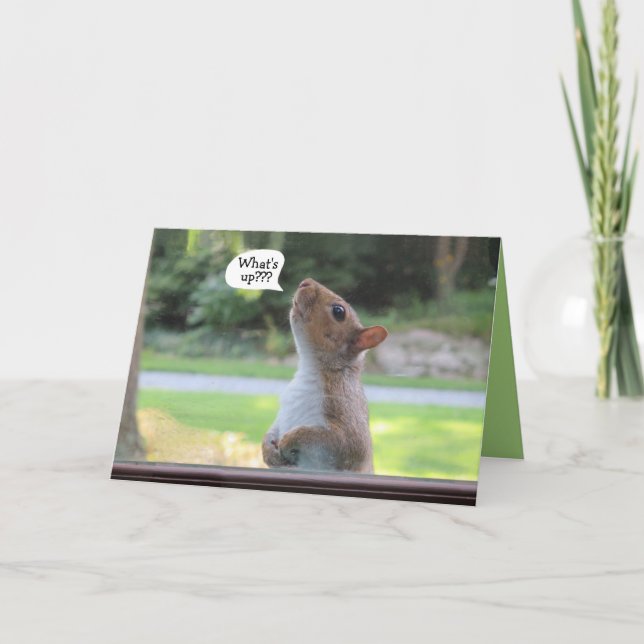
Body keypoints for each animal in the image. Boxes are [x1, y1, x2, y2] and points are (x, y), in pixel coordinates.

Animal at [262, 278, 388, 473]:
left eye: (339, 311)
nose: (305, 282)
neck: (310, 367)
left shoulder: (346, 408)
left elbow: (343, 442)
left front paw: (290, 439)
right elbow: (272, 429)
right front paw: (268, 450)